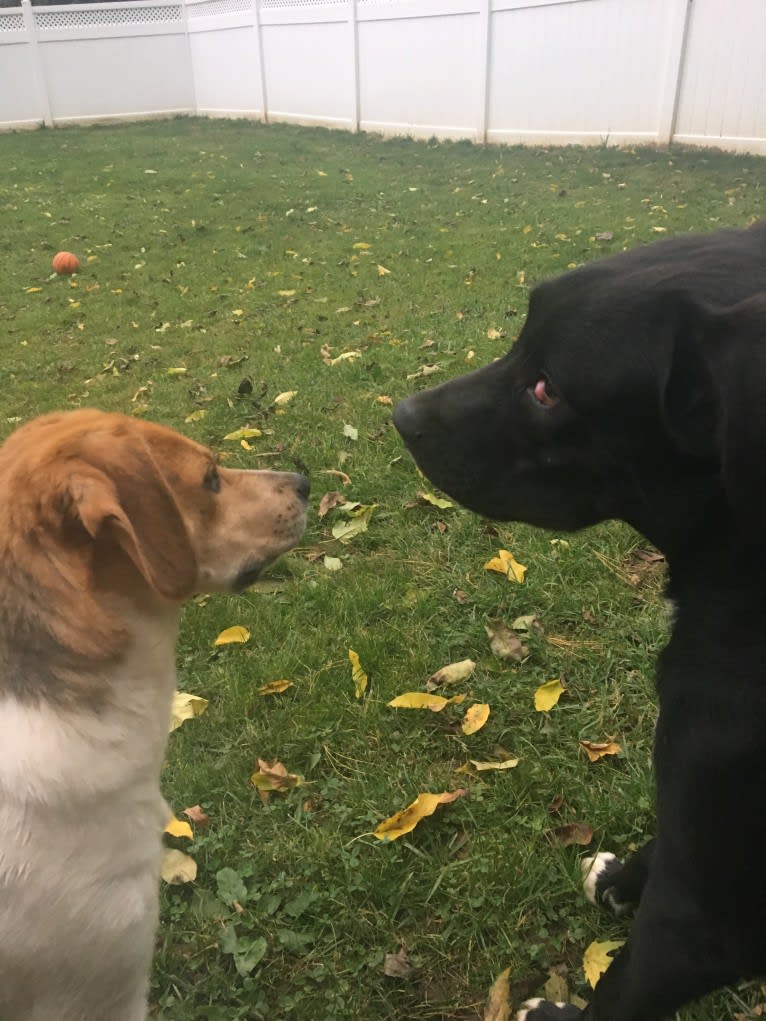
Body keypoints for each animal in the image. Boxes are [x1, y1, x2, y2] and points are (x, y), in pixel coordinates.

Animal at [398, 225, 766, 1021]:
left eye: (549, 388)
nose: (402, 416)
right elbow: (664, 841)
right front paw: (622, 880)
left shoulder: (703, 922)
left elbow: (621, 993)